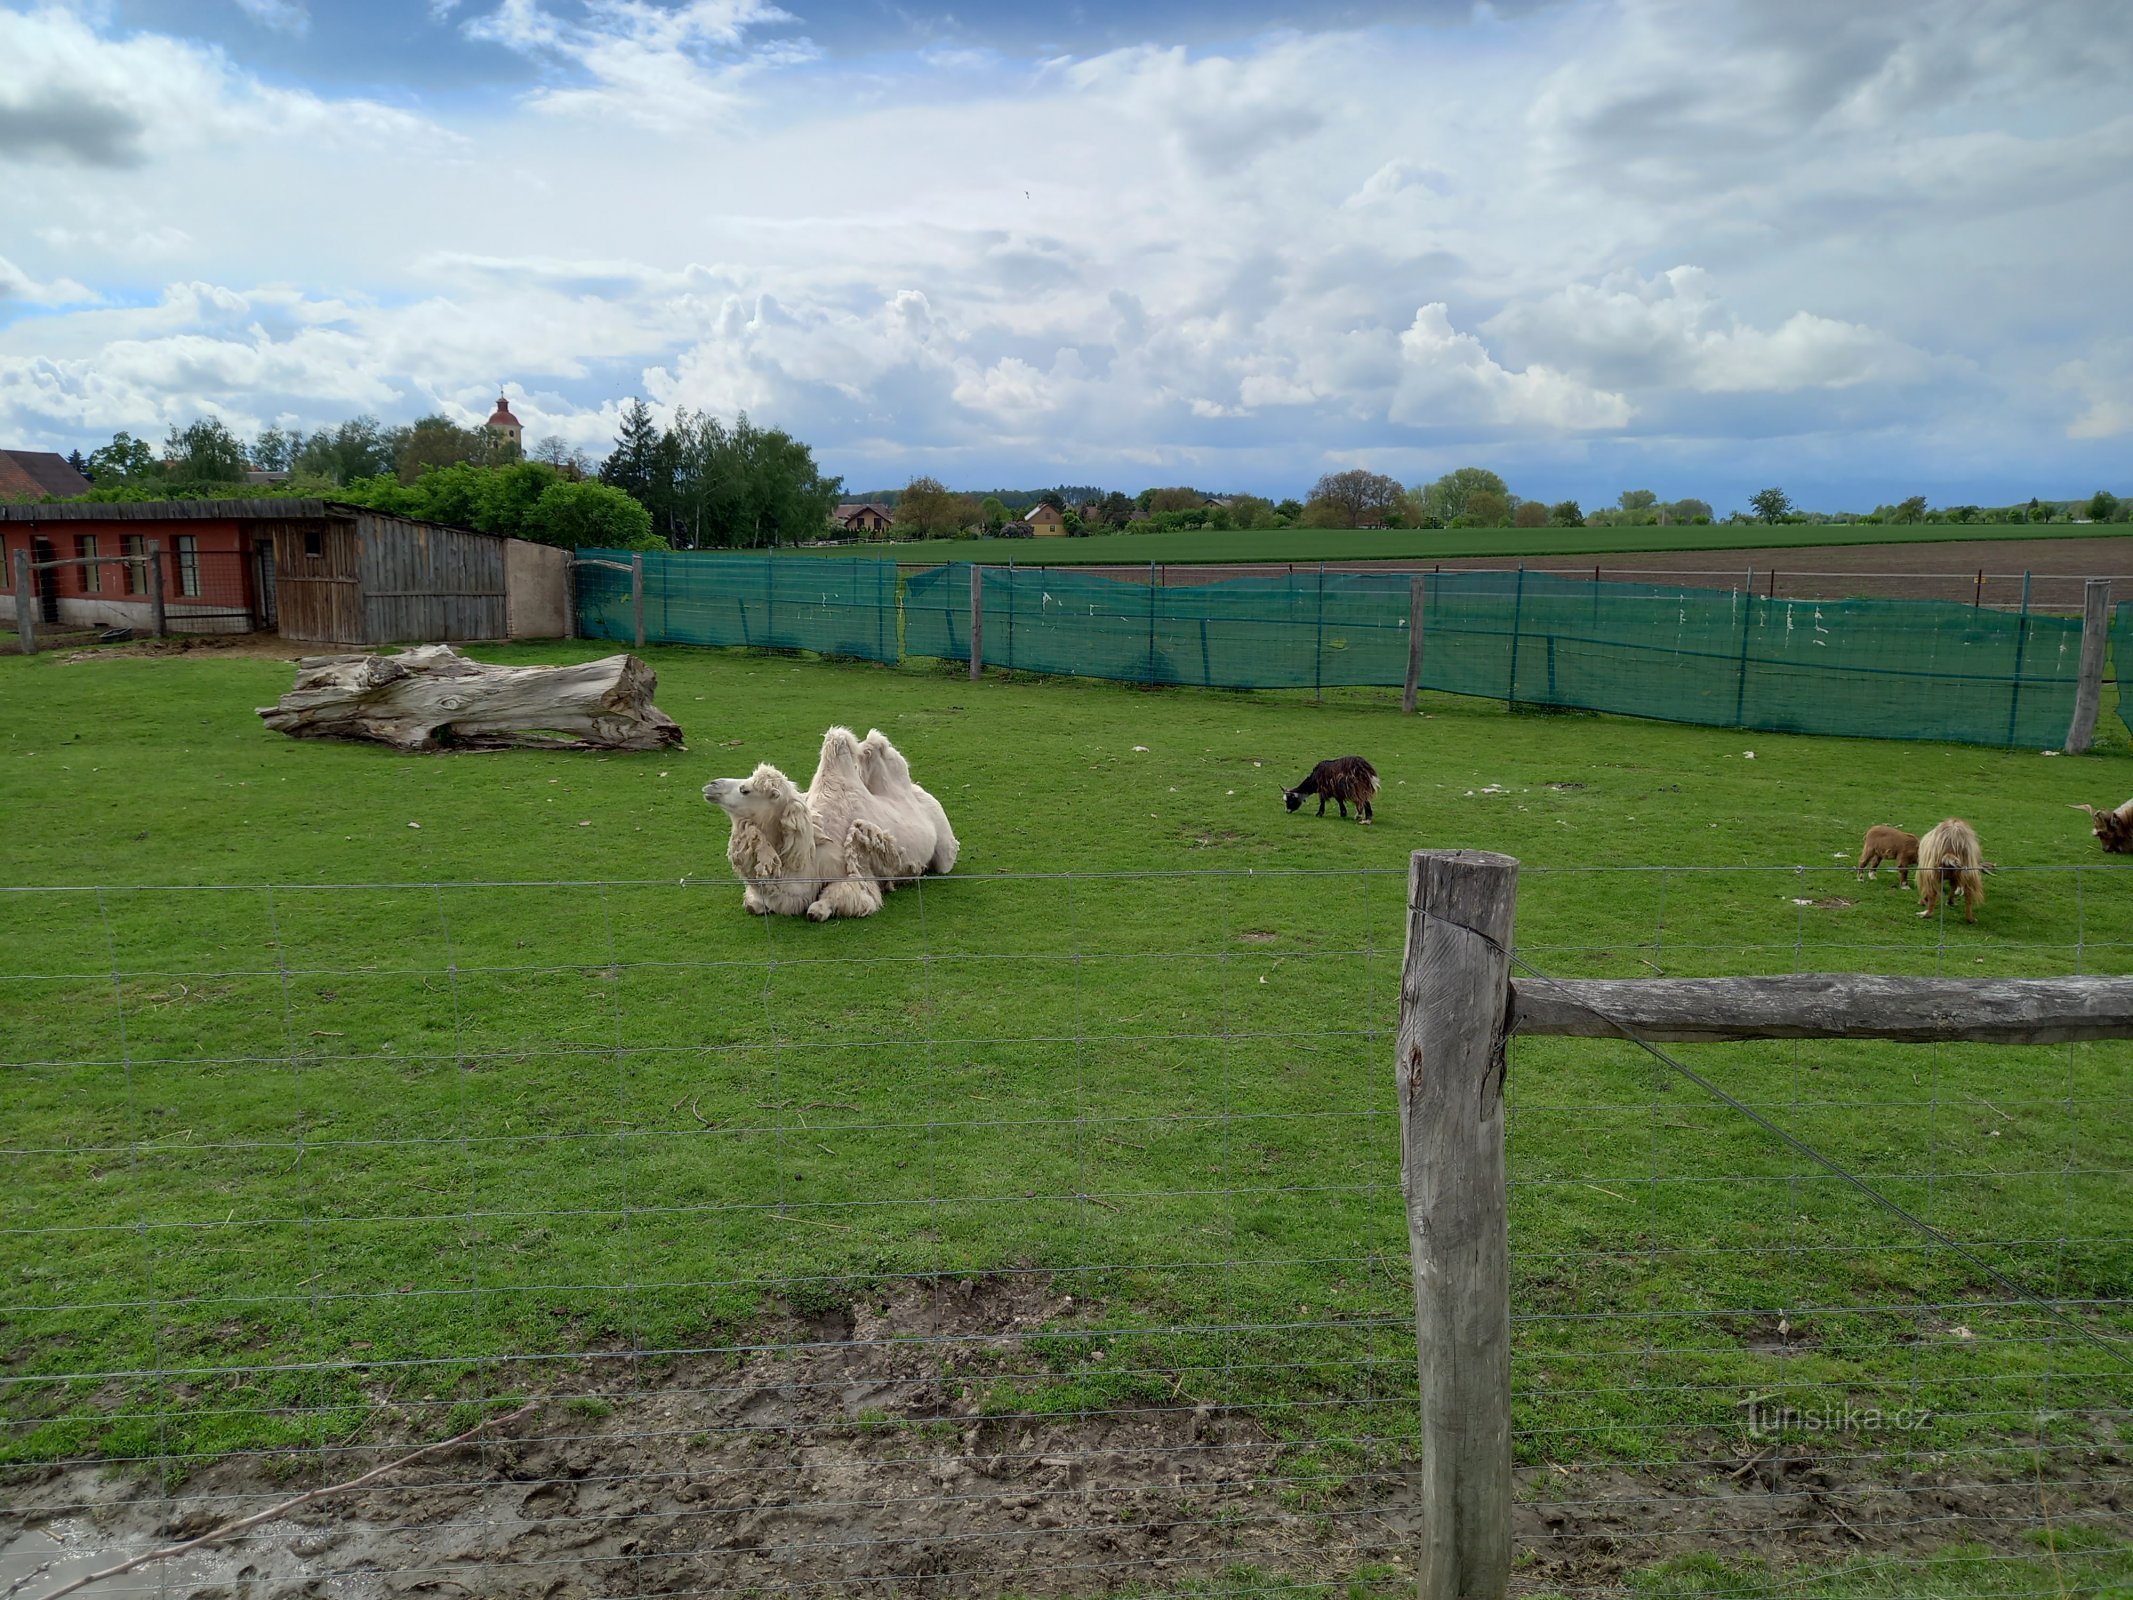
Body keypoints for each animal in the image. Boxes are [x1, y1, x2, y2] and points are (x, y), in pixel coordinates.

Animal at [699, 729, 959, 925]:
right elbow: (753, 905)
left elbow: (821, 908)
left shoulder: (854, 874)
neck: (809, 854)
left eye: (745, 790)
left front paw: (821, 909)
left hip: (944, 847)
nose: (711, 785)